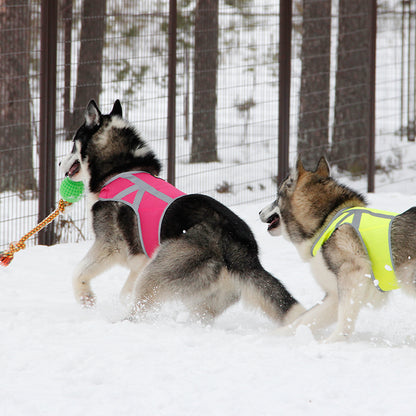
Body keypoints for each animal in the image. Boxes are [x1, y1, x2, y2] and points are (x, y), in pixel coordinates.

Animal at [60, 100, 304, 324]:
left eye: (72, 144)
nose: (61, 161)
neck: (120, 169)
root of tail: (240, 247)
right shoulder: (140, 260)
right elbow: (123, 290)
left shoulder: (110, 246)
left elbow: (78, 273)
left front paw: (86, 298)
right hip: (202, 300)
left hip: (159, 270)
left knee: (140, 307)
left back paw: (122, 323)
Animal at [260, 156, 416, 342]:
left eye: (277, 197)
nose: (259, 211)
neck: (326, 220)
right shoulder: (334, 296)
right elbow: (301, 321)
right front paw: (272, 336)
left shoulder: (352, 273)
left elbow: (344, 319)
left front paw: (333, 341)